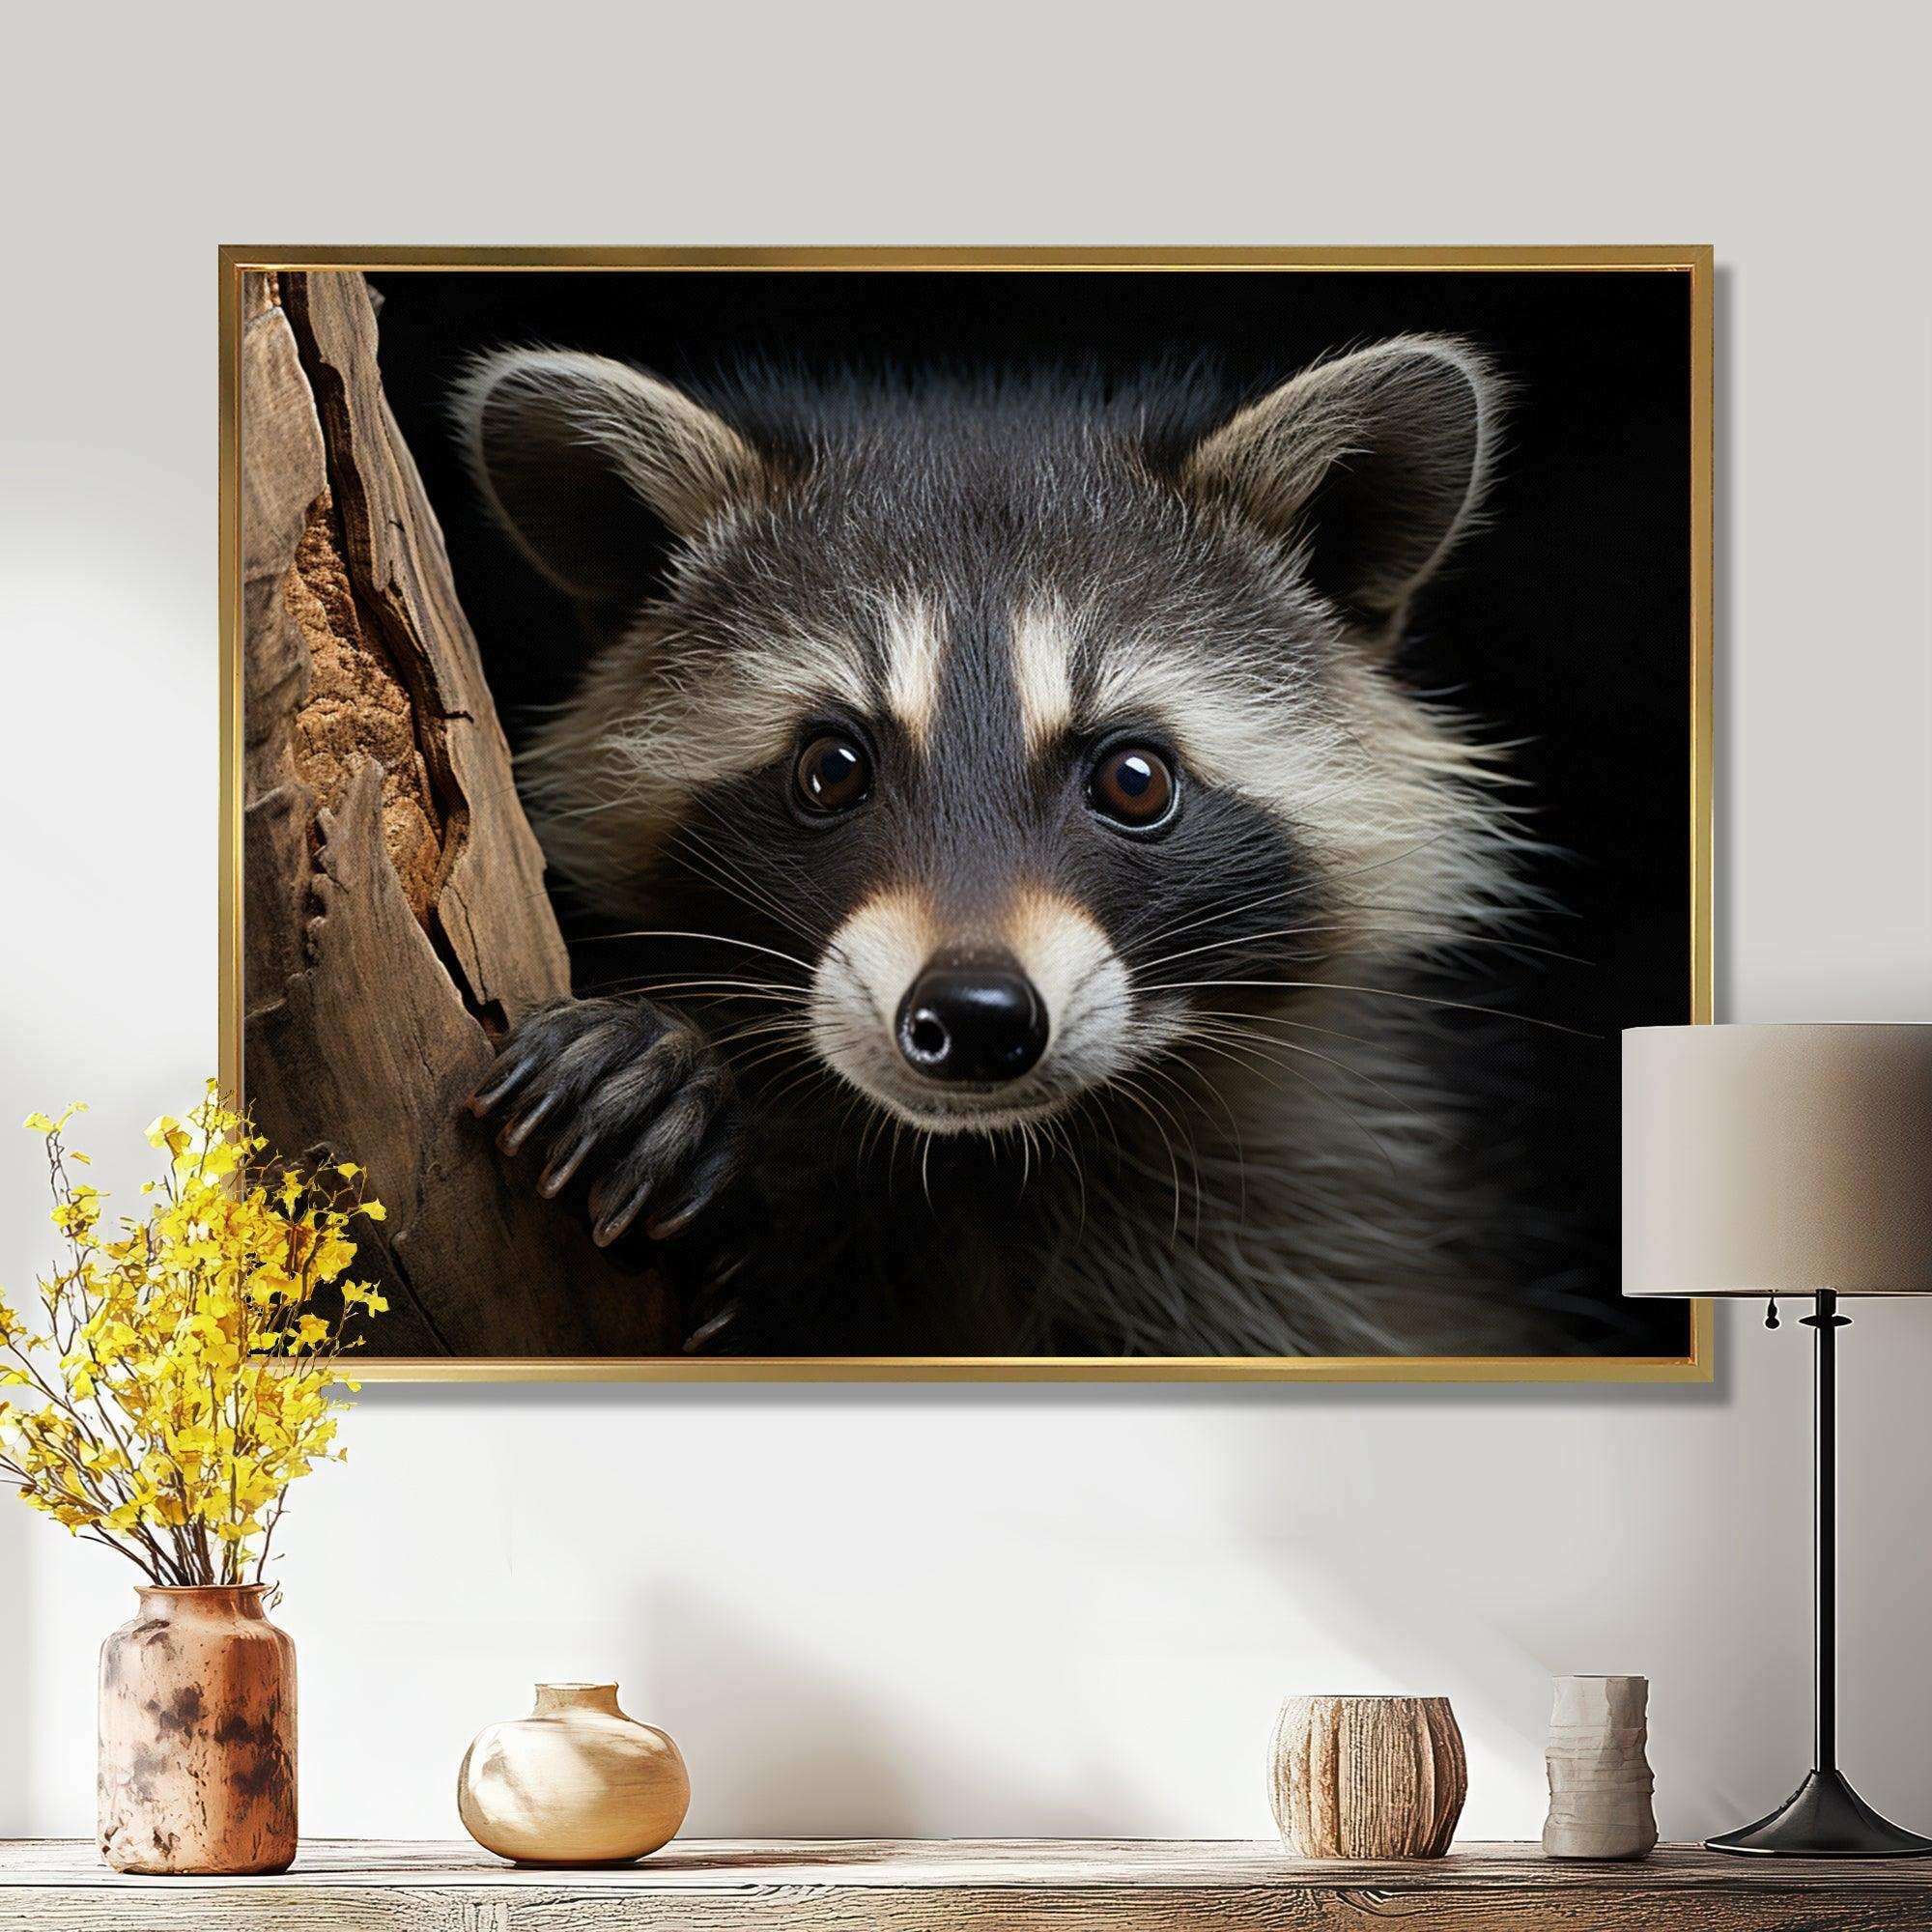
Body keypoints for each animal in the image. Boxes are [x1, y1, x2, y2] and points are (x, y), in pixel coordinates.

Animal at [456, 334, 1566, 1358]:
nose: (974, 1015)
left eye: (1133, 779)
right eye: (831, 768)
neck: (985, 1158)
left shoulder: (1341, 1220)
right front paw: (664, 1069)